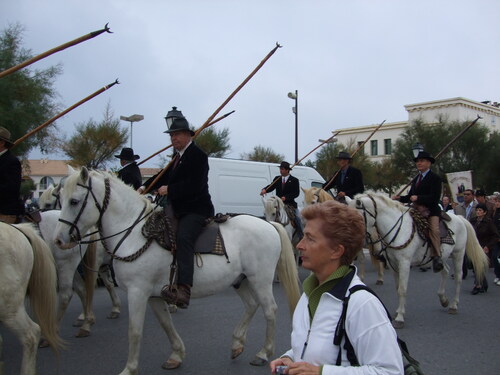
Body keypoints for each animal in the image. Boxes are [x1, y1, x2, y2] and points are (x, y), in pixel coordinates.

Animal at [53, 169, 300, 374]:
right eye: (60, 199)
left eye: (74, 201)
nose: (59, 240)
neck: (135, 233)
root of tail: (269, 225)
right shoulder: (154, 295)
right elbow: (166, 324)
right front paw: (176, 355)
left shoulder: (137, 292)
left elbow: (134, 331)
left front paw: (129, 369)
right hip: (241, 280)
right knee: (251, 305)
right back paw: (237, 344)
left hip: (261, 279)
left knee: (270, 309)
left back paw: (263, 353)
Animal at [352, 194, 488, 328]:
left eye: (358, 217)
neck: (397, 229)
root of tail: (460, 218)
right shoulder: (392, 264)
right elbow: (397, 288)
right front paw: (398, 311)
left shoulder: (404, 263)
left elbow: (402, 289)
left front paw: (400, 318)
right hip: (442, 257)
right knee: (445, 271)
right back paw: (443, 299)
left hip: (458, 254)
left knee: (458, 278)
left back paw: (454, 305)